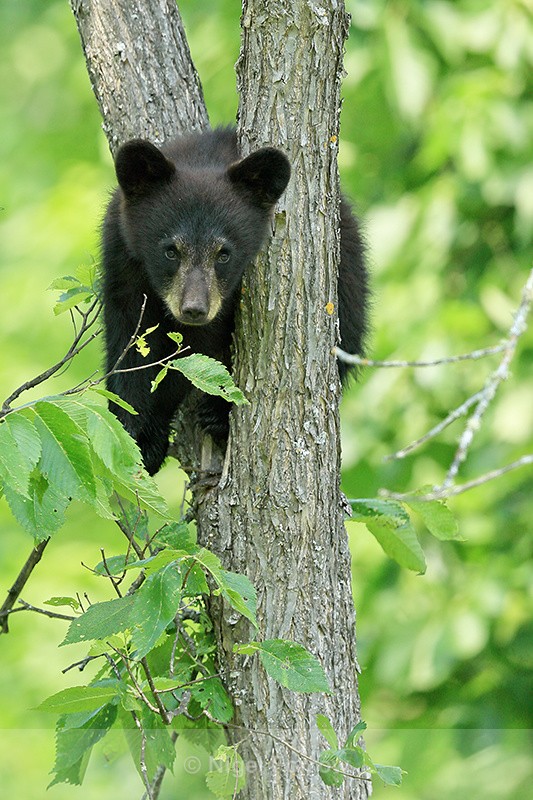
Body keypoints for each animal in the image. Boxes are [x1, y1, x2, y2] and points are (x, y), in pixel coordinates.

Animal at [101, 127, 368, 475]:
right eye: (170, 250)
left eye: (224, 253)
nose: (194, 309)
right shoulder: (122, 258)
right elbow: (130, 340)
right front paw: (136, 434)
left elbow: (200, 356)